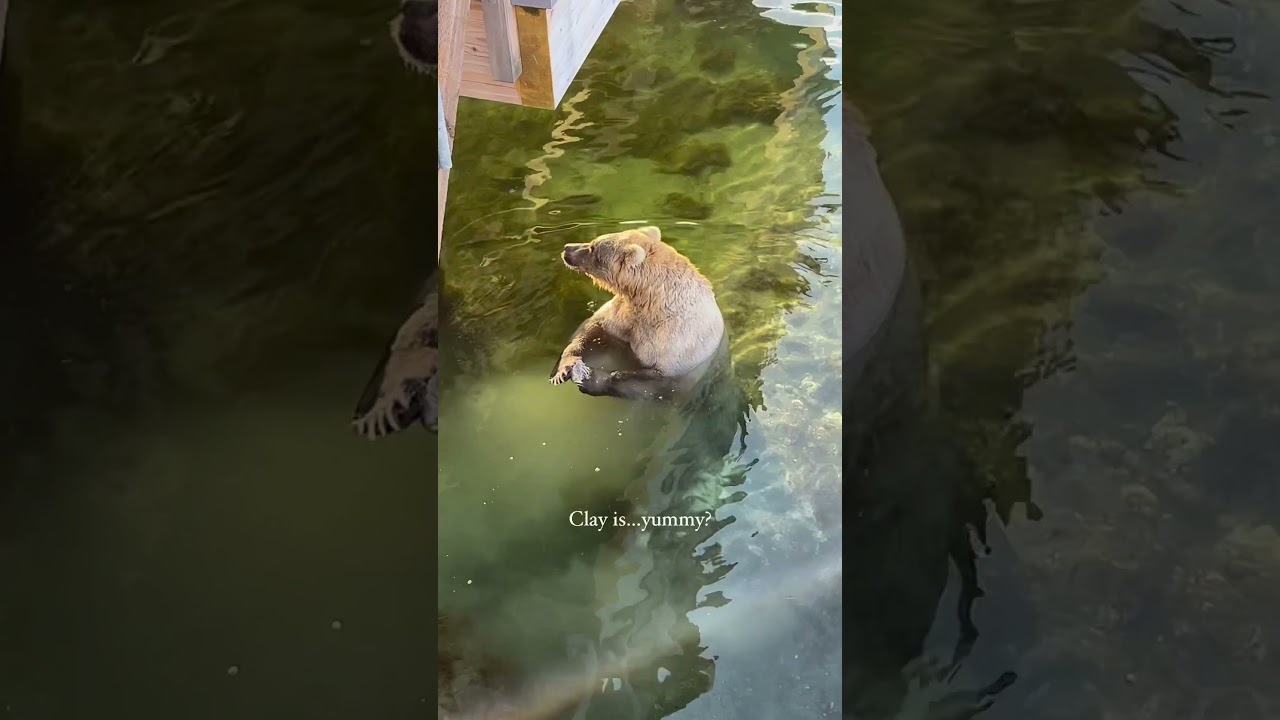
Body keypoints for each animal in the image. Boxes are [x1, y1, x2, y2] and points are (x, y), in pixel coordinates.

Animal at [549, 226, 725, 401]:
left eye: (593, 247)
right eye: (594, 242)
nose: (567, 248)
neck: (649, 300)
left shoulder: (676, 345)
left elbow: (652, 383)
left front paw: (591, 378)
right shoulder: (623, 315)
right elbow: (592, 330)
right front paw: (564, 369)